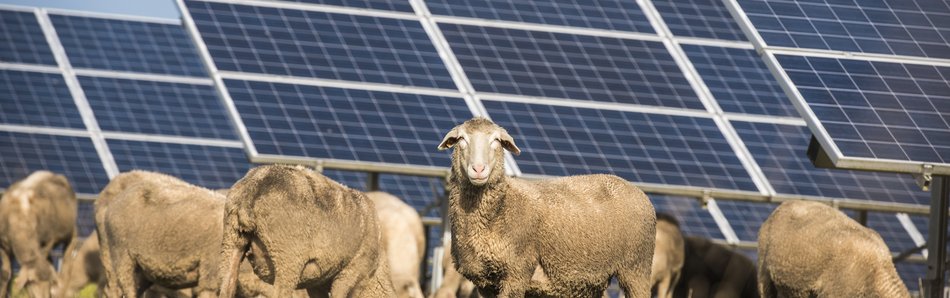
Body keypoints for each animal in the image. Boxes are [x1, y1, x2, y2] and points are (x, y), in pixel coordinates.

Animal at [0, 170, 78, 298]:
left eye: (48, 282)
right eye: (31, 281)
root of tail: (49, 173)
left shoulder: (47, 241)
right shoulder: (3, 246)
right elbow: (6, 274)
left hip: (71, 233)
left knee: (66, 266)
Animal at [218, 165, 394, 298]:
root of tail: (254, 188)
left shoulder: (317, 282)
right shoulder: (351, 272)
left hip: (232, 239)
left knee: (227, 286)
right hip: (288, 255)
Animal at [440, 117, 660, 296]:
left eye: (496, 141)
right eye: (461, 140)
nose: (478, 169)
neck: (501, 208)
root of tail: (634, 188)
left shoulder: (517, 272)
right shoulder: (485, 283)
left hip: (636, 266)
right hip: (591, 278)